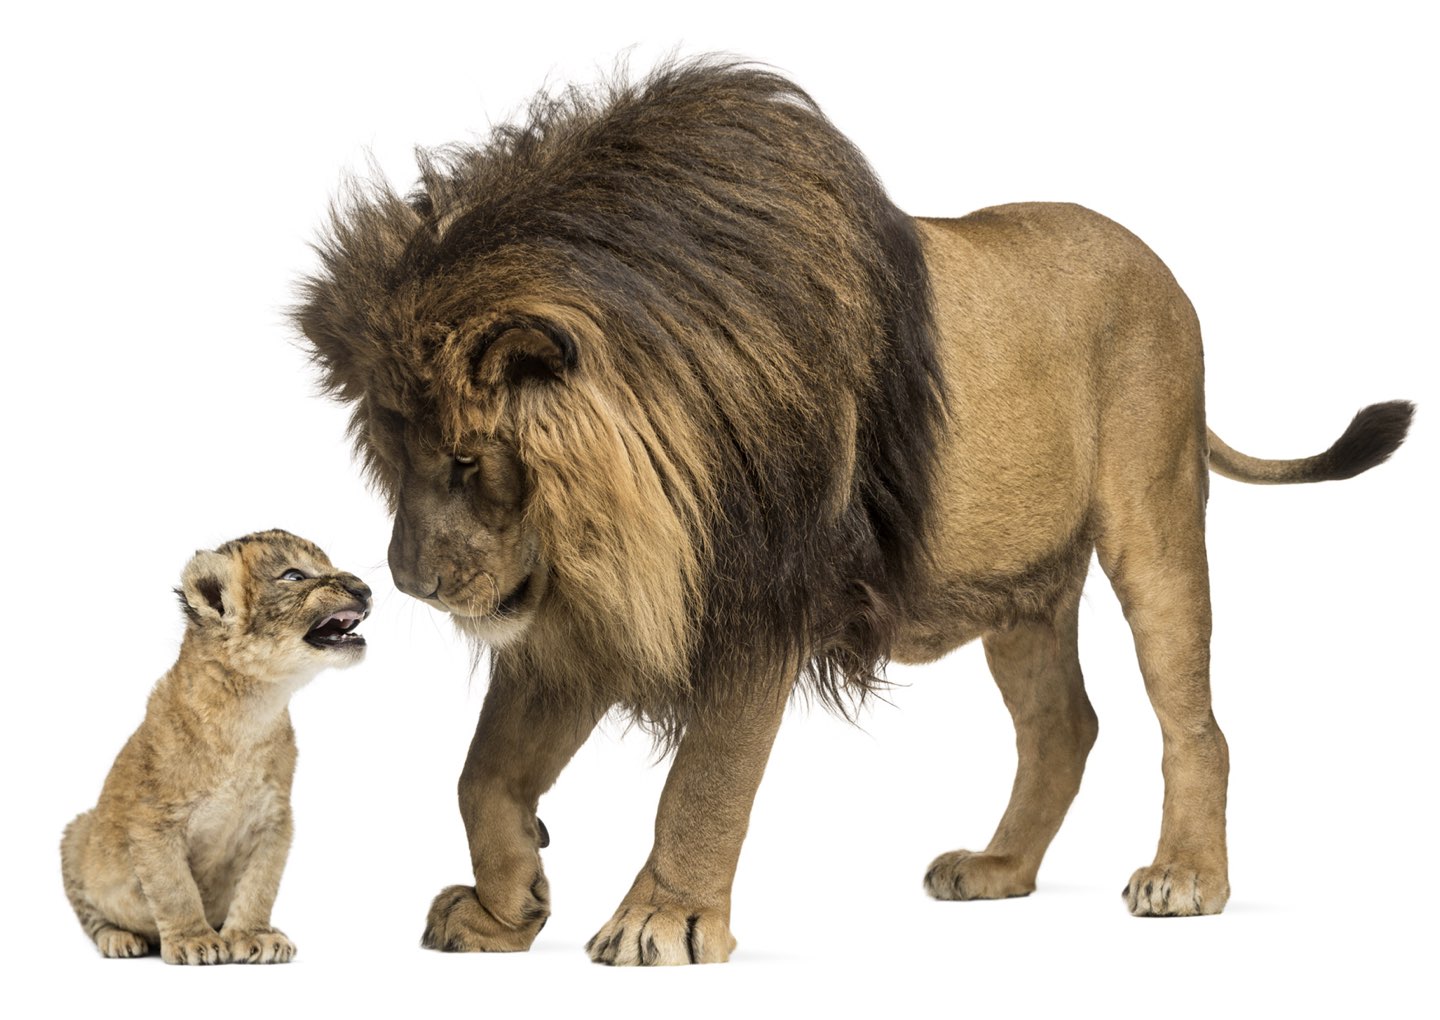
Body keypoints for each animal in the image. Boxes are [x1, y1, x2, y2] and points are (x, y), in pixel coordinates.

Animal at [61, 530, 371, 964]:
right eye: (294, 576)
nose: (365, 589)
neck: (252, 710)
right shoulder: (153, 820)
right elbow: (175, 888)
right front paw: (195, 940)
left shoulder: (274, 820)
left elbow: (259, 885)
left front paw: (255, 936)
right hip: (77, 833)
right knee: (93, 914)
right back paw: (120, 938)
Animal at [293, 59, 1412, 964]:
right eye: (391, 460)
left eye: (465, 458)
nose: (409, 585)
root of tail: (1157, 262)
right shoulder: (588, 608)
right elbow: (483, 772)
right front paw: (508, 902)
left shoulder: (759, 596)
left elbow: (705, 778)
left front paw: (663, 921)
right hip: (1019, 586)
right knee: (1066, 724)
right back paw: (997, 869)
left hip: (1156, 515)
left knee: (1195, 721)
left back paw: (1187, 877)